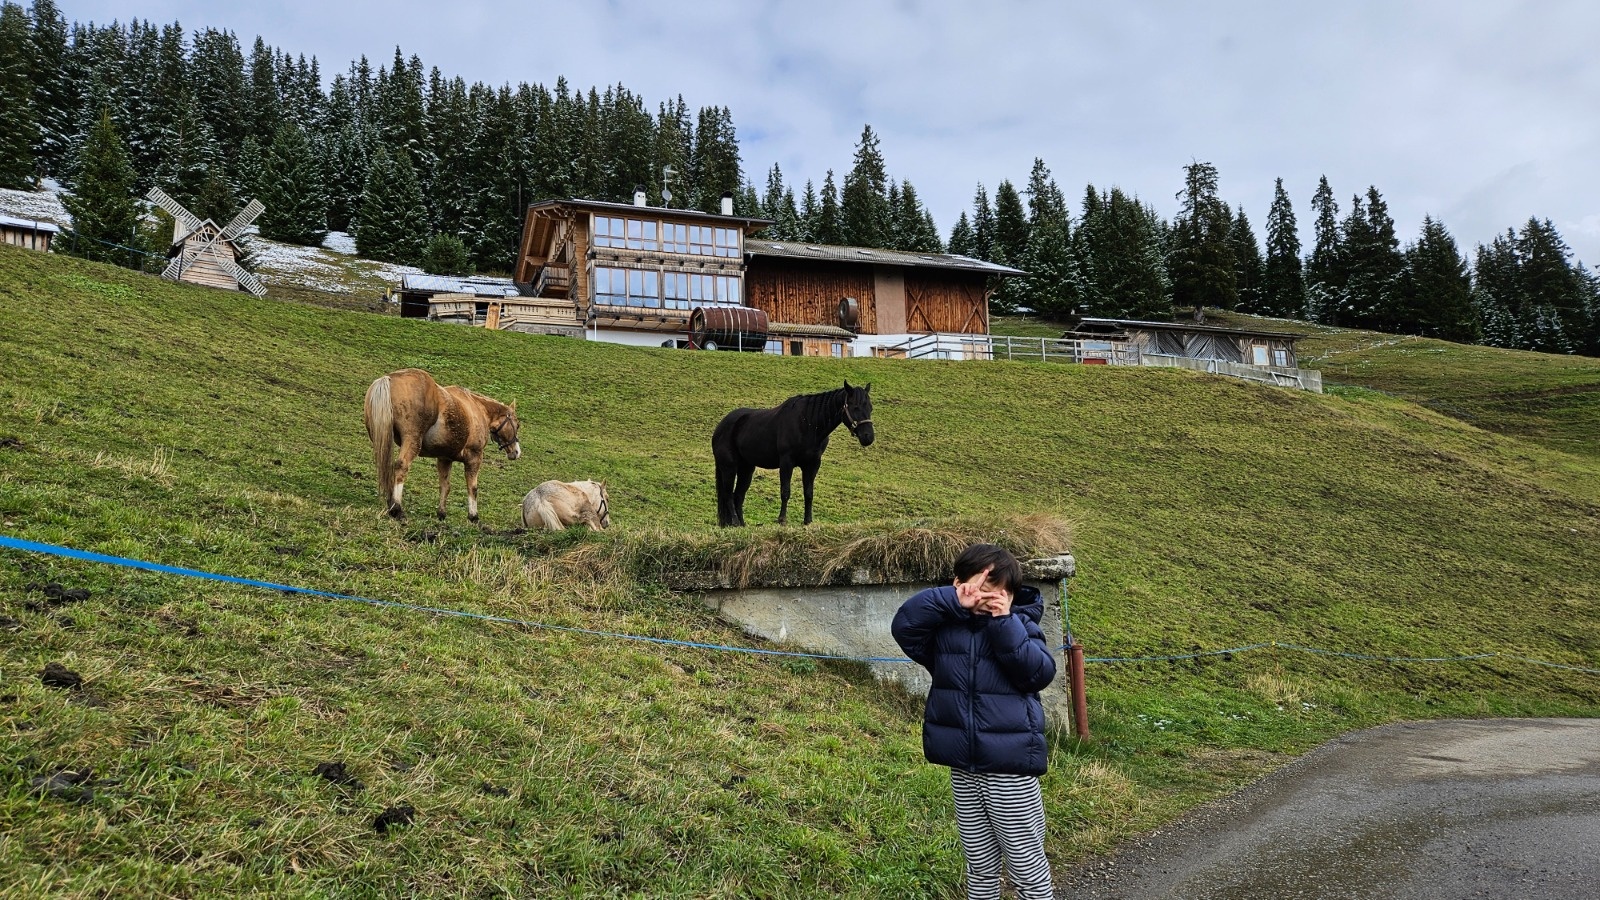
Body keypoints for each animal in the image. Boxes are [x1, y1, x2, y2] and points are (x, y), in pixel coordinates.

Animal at [361, 365, 518, 518]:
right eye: (517, 425)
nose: (516, 452)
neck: (476, 408)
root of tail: (389, 378)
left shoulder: (444, 459)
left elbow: (445, 485)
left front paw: (441, 513)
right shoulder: (474, 457)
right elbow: (472, 488)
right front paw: (473, 516)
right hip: (412, 440)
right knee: (401, 466)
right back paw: (396, 508)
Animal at [710, 379, 876, 525]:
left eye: (870, 408)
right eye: (855, 407)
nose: (868, 437)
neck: (808, 423)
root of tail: (720, 427)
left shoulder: (812, 464)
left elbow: (809, 493)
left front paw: (808, 521)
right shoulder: (786, 462)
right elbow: (785, 491)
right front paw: (782, 520)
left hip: (746, 469)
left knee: (738, 496)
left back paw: (742, 524)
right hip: (729, 467)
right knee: (728, 495)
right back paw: (735, 522)